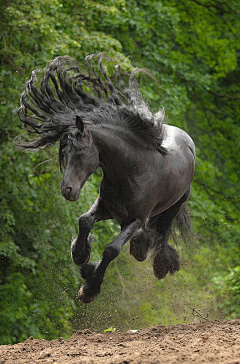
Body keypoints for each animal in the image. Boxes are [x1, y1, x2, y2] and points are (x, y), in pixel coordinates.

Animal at [15, 54, 195, 302]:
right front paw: (80, 255)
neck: (133, 173)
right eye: (64, 152)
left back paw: (157, 262)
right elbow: (84, 220)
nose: (67, 190)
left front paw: (89, 289)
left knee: (163, 231)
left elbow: (111, 249)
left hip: (175, 205)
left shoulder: (134, 219)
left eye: (80, 152)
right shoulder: (106, 207)